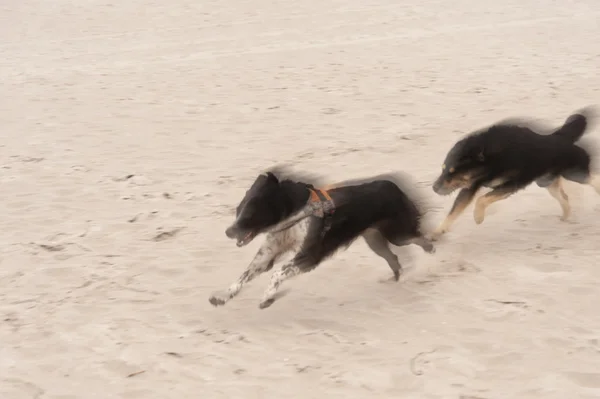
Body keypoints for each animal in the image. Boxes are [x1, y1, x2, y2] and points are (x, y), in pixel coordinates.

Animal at [209, 167, 434, 310]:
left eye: (250, 213)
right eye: (238, 209)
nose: (228, 232)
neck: (293, 215)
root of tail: (394, 185)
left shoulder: (308, 256)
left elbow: (277, 274)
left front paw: (266, 298)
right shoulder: (267, 256)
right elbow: (244, 276)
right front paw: (221, 297)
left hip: (398, 234)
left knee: (422, 240)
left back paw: (431, 256)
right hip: (374, 239)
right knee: (394, 258)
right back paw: (395, 279)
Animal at [428, 107, 596, 238]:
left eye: (453, 172)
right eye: (443, 169)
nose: (434, 188)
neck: (490, 159)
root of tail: (559, 137)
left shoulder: (512, 184)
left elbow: (481, 199)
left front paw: (478, 217)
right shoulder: (471, 186)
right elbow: (455, 210)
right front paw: (438, 231)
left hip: (574, 173)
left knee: (593, 179)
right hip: (545, 181)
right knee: (564, 197)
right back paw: (565, 217)